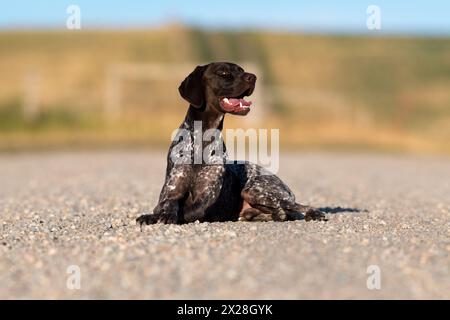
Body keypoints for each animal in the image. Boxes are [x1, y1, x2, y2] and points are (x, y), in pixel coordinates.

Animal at [135, 60, 326, 225]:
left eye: (242, 70)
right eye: (223, 72)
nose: (252, 77)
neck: (201, 140)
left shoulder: (204, 199)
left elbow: (187, 212)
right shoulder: (171, 192)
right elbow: (166, 206)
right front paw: (153, 216)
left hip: (253, 189)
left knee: (297, 207)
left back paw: (314, 213)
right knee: (282, 211)